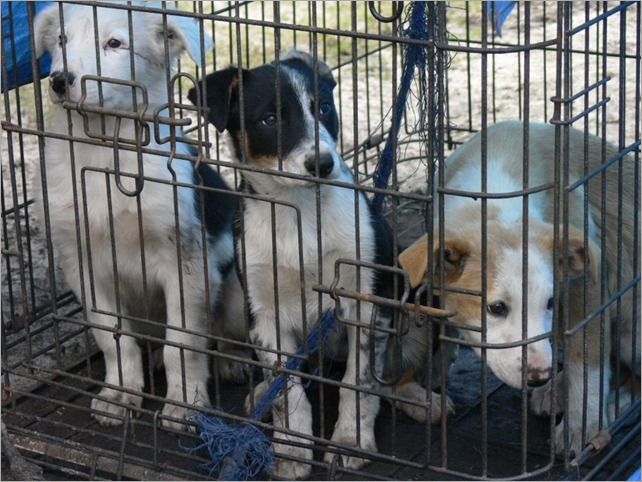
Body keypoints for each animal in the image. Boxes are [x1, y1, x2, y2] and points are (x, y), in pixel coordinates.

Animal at [33, 0, 246, 430]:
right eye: (61, 39)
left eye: (115, 43)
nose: (60, 81)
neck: (105, 150)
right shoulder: (82, 263)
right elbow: (112, 336)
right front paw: (120, 393)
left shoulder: (185, 262)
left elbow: (183, 343)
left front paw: (183, 403)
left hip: (233, 287)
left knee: (232, 335)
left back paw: (232, 361)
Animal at [188, 50, 458, 478]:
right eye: (270, 119)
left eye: (325, 108)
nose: (324, 164)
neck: (298, 210)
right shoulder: (264, 311)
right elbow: (288, 391)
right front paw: (291, 450)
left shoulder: (365, 301)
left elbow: (359, 383)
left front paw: (351, 442)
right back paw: (261, 395)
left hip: (419, 306)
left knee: (391, 378)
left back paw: (421, 400)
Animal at [398, 120, 636, 456]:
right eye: (497, 308)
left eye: (549, 302)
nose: (538, 376)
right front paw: (433, 369)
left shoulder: (586, 294)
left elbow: (587, 365)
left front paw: (580, 425)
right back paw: (555, 390)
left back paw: (605, 404)